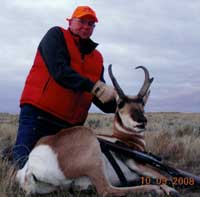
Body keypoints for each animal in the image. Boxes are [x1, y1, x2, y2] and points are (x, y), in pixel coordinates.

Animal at [14, 64, 179, 195]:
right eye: (120, 104)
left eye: (142, 104)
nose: (141, 121)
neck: (127, 140)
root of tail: (30, 167)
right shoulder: (138, 164)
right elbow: (168, 176)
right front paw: (168, 188)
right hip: (94, 157)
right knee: (106, 190)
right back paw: (156, 189)